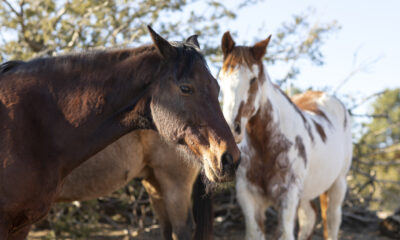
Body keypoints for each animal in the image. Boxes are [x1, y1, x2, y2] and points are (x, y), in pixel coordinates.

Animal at [219, 32, 354, 240]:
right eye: (221, 78)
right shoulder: (249, 197)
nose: (232, 129)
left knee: (331, 222)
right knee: (309, 218)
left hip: (337, 184)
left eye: (253, 79)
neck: (266, 145)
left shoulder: (288, 197)